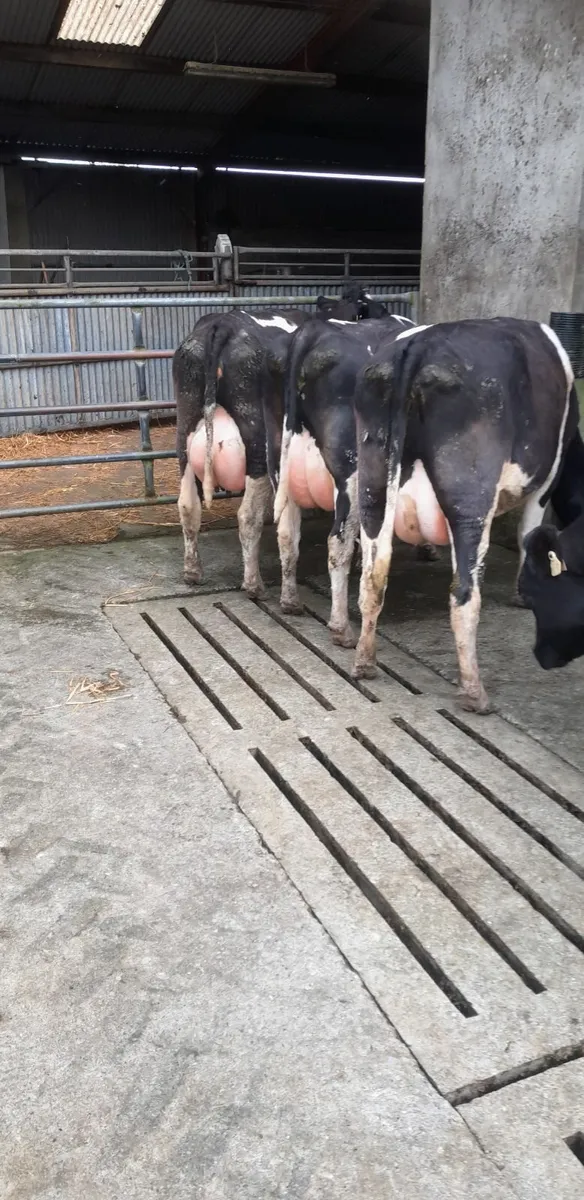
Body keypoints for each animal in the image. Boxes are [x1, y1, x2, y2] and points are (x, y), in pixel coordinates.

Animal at [270, 313, 417, 648]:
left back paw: (290, 601)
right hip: (352, 471)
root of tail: (315, 329)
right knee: (337, 540)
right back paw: (341, 628)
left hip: (283, 460)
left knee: (286, 530)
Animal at [352, 317, 578, 713]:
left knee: (373, 576)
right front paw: (522, 594)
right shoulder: (547, 478)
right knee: (463, 593)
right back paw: (474, 693)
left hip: (372, 483)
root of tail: (417, 347)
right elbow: (528, 534)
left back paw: (364, 662)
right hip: (470, 496)